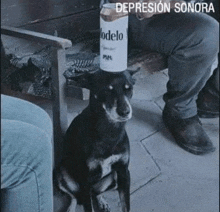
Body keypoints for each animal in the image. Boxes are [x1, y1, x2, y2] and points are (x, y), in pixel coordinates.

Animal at [56, 68, 139, 211]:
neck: (109, 131)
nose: (125, 112)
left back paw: (102, 201)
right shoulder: (85, 179)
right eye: (107, 90)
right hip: (61, 173)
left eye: (129, 88)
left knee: (96, 193)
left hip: (113, 178)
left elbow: (125, 205)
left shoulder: (123, 172)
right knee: (73, 197)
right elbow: (88, 207)